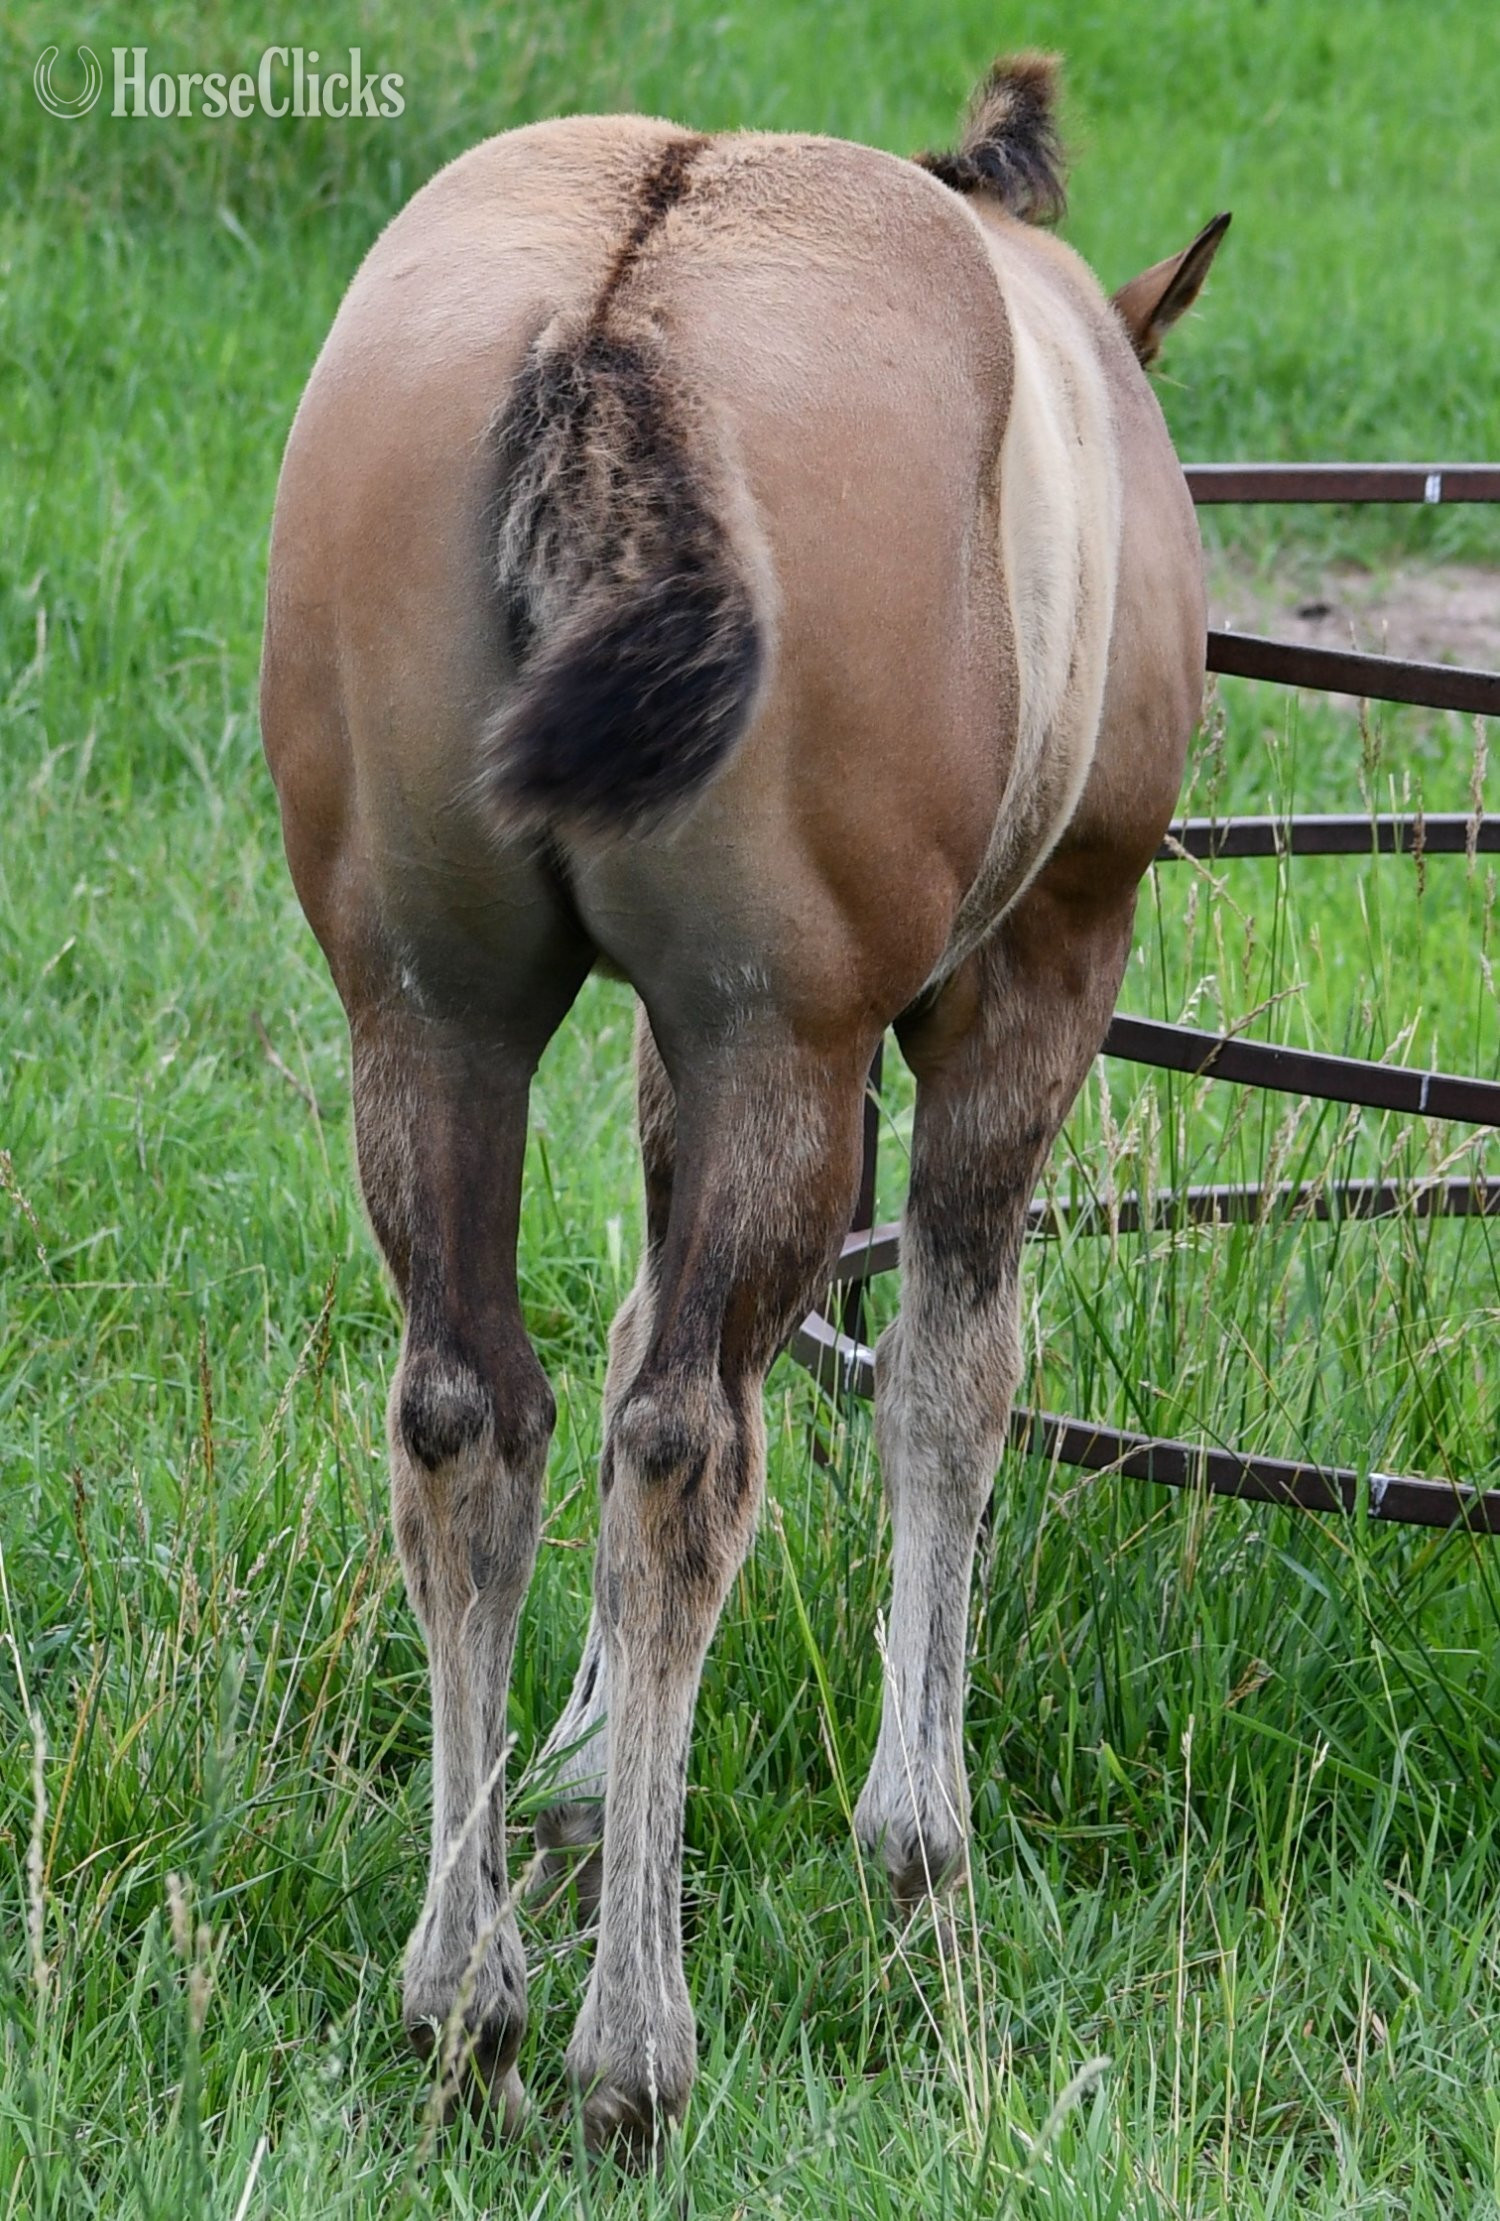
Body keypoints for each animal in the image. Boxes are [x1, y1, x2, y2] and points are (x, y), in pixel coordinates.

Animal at [259, 52, 1227, 2156]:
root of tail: (614, 320)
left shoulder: (649, 1043)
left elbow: (638, 1314)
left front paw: (573, 1774)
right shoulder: (1024, 981)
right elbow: (951, 1377)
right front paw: (920, 1848)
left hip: (433, 1014)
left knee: (472, 1417)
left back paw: (468, 1998)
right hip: (781, 1029)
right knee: (684, 1449)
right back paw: (633, 2046)